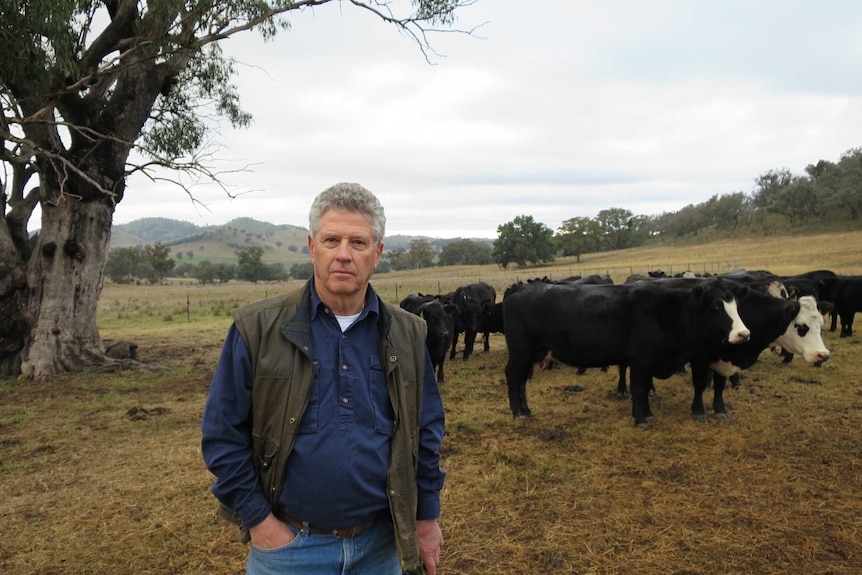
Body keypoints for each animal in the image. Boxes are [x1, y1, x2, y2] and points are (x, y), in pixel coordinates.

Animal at [502, 280, 752, 428]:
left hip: (531, 354)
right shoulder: (641, 359)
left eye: (736, 306)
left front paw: (647, 414)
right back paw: (517, 412)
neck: (669, 311)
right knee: (514, 378)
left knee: (522, 381)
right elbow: (639, 388)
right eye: (716, 306)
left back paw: (526, 410)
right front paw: (641, 419)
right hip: (520, 352)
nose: (744, 334)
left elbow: (644, 387)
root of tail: (518, 290)